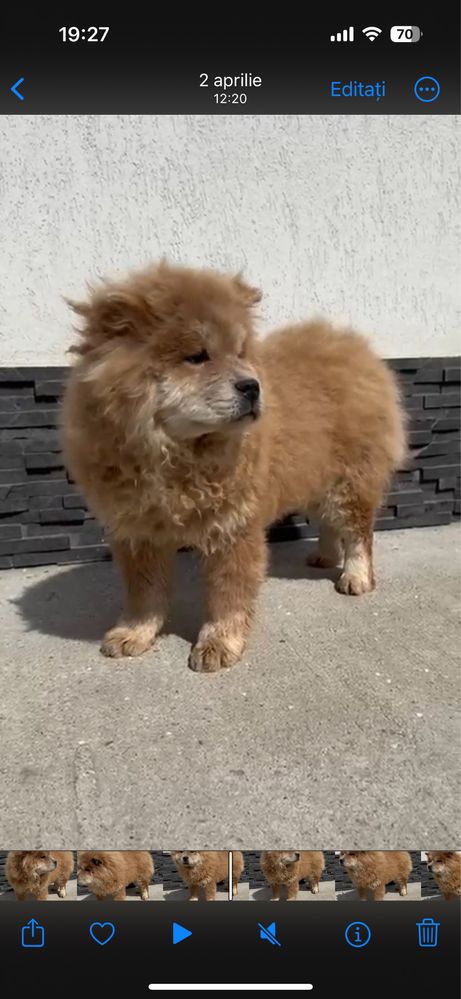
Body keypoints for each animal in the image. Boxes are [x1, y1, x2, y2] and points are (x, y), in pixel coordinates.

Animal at [63, 264, 404, 672]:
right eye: (197, 356)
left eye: (240, 353)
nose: (252, 386)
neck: (177, 456)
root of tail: (357, 348)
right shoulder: (138, 530)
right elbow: (144, 592)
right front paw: (134, 634)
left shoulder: (233, 527)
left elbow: (227, 592)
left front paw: (218, 644)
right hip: (311, 476)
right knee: (328, 523)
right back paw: (324, 557)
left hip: (348, 482)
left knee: (357, 533)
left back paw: (355, 577)